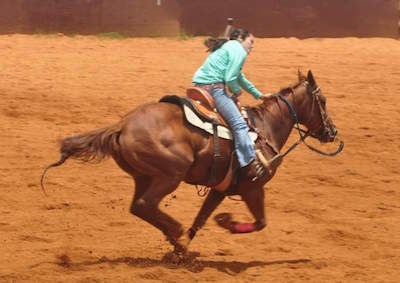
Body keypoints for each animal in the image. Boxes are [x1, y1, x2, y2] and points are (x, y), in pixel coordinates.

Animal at [39, 70, 340, 260]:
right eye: (323, 101)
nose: (332, 132)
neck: (265, 128)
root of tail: (123, 124)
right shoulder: (253, 187)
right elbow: (261, 222)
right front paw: (227, 223)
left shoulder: (220, 189)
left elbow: (203, 217)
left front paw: (189, 243)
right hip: (170, 174)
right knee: (144, 205)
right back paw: (175, 231)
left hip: (143, 176)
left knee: (139, 207)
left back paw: (177, 241)